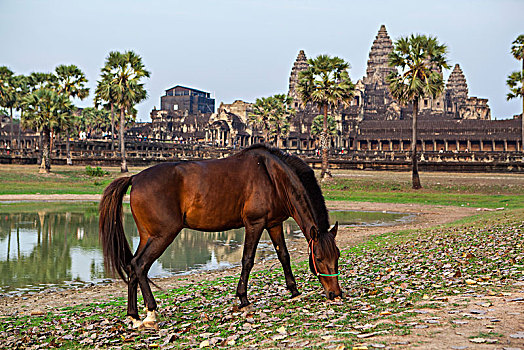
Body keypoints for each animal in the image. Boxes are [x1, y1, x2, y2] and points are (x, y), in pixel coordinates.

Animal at [100, 144, 342, 328]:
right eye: (318, 258)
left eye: (337, 257)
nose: (335, 294)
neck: (272, 176)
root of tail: (135, 178)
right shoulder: (255, 224)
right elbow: (247, 260)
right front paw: (244, 300)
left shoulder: (274, 224)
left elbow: (284, 256)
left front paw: (294, 291)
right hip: (163, 235)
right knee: (140, 265)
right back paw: (151, 314)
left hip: (147, 236)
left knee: (132, 266)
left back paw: (134, 316)